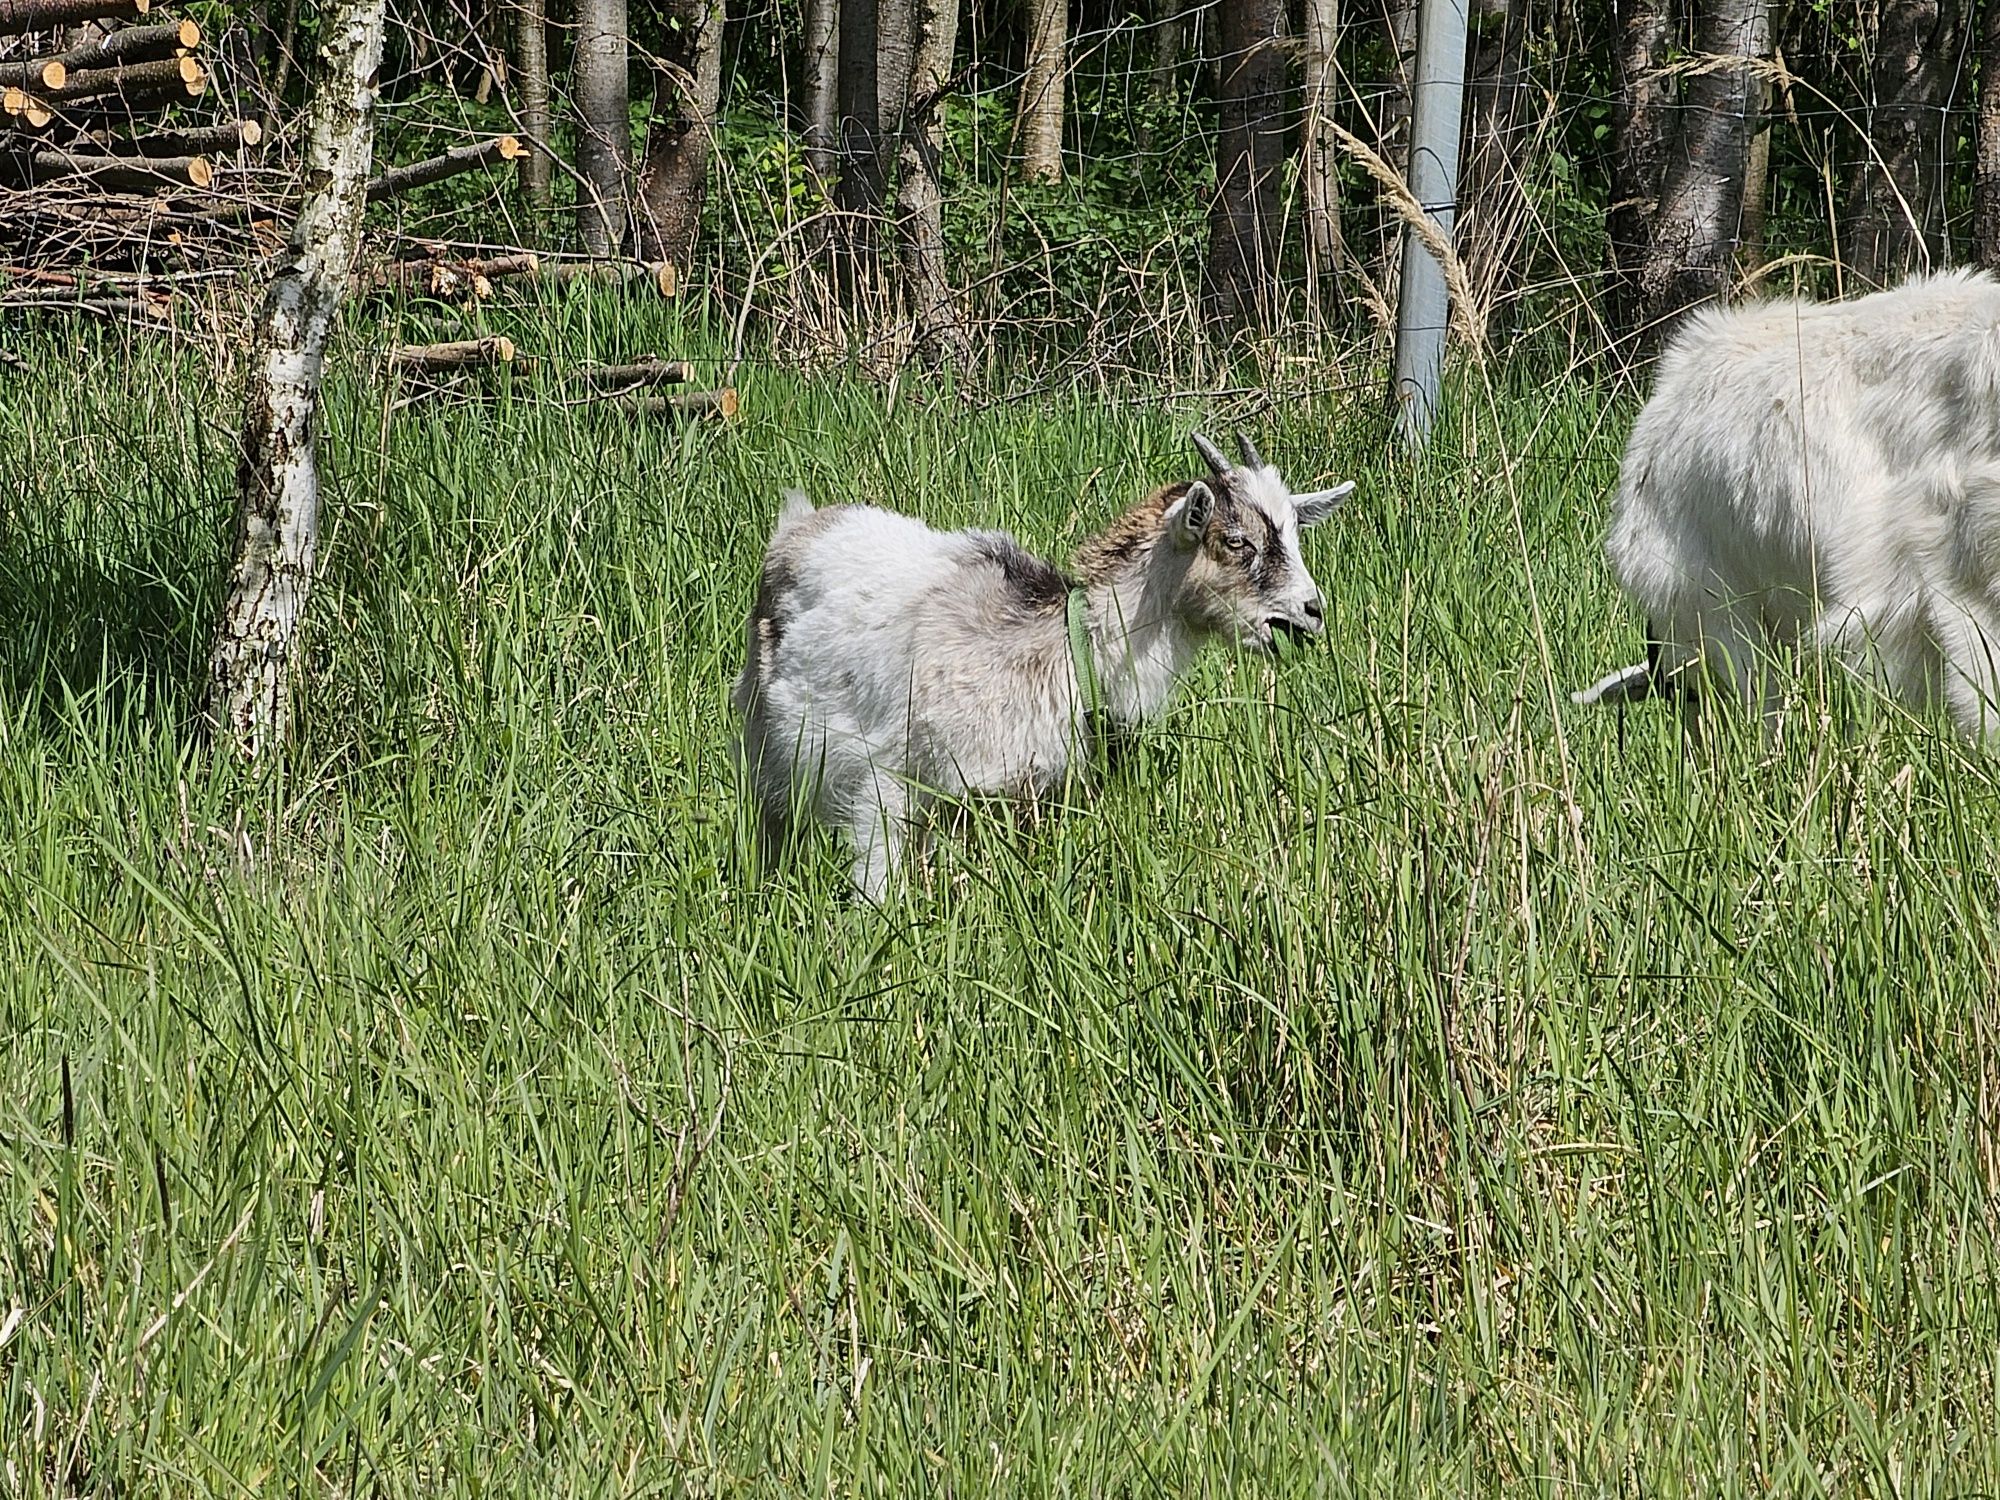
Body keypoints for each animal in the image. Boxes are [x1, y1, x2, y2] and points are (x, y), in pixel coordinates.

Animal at [728, 434, 1352, 904]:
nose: (1312, 611)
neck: (1068, 648)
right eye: (1236, 541)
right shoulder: (888, 776)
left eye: (1294, 535)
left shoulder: (1025, 794)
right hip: (766, 740)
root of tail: (798, 527)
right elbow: (877, 880)